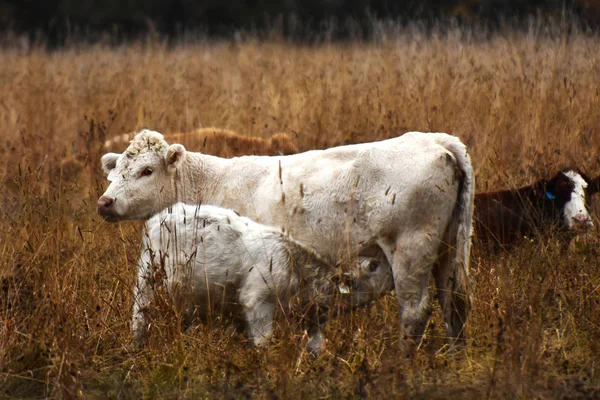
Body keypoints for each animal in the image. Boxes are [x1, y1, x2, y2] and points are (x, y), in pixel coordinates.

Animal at [134, 203, 392, 354]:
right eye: (373, 265)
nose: (392, 265)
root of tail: (162, 215)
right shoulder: (258, 303)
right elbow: (263, 343)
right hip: (148, 279)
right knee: (140, 314)